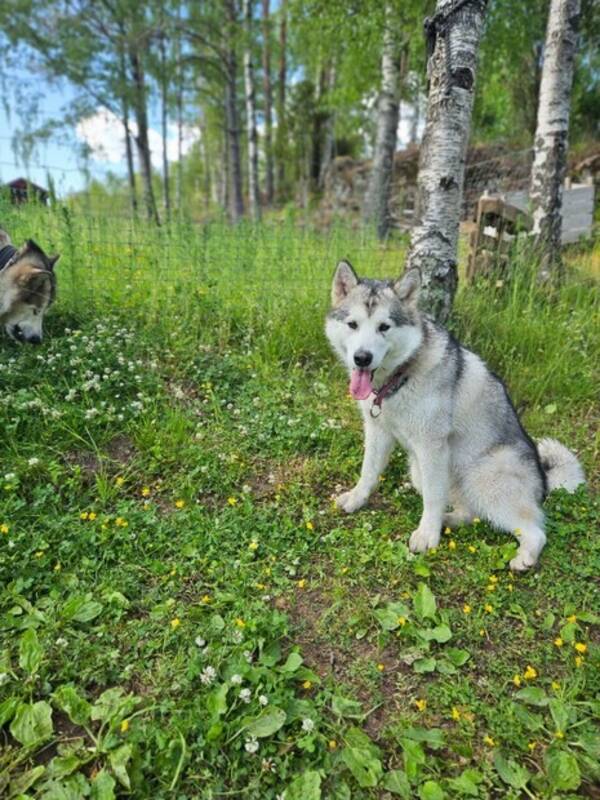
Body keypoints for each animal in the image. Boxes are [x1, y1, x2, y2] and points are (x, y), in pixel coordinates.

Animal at [326, 260, 584, 568]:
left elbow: (432, 498)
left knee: (534, 530)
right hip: (419, 471)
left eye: (384, 327)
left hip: (482, 480)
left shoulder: (431, 446)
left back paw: (524, 557)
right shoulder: (378, 432)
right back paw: (448, 520)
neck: (400, 377)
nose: (362, 358)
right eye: (352, 324)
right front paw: (356, 499)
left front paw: (427, 535)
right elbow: (369, 472)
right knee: (471, 513)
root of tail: (543, 481)